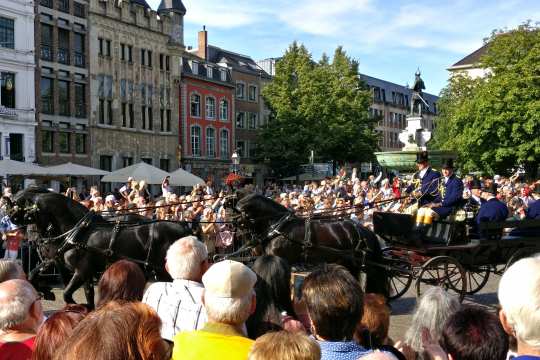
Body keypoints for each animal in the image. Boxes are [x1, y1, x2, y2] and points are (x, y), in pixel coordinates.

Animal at [8, 187, 192, 308]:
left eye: (19, 206)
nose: (36, 241)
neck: (77, 231)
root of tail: (185, 228)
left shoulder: (81, 271)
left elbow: (67, 294)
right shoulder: (78, 270)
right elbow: (33, 274)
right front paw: (47, 292)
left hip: (164, 272)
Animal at [224, 190, 388, 296]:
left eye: (234, 210)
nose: (229, 226)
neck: (278, 227)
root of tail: (364, 229)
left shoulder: (282, 260)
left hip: (364, 264)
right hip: (349, 262)